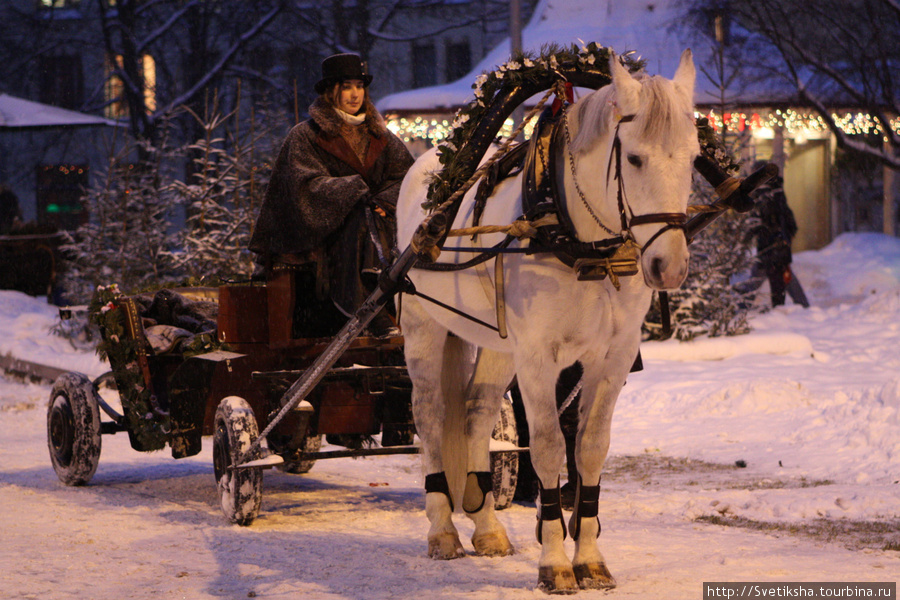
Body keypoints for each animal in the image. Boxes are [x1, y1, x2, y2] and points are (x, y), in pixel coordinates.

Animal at [398, 50, 700, 592]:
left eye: (692, 157)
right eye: (634, 158)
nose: (669, 266)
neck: (581, 244)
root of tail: (429, 167)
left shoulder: (612, 358)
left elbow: (591, 449)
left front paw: (591, 559)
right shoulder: (539, 359)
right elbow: (547, 449)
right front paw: (555, 562)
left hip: (498, 344)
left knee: (476, 414)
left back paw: (487, 527)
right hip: (424, 326)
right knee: (430, 415)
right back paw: (443, 531)